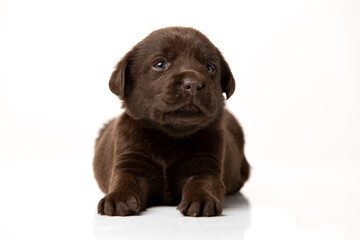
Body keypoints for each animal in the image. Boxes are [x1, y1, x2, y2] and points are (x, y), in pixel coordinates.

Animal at [93, 26, 250, 218]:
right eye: (160, 64)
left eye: (210, 67)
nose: (193, 84)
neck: (170, 135)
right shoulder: (130, 161)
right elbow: (124, 181)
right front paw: (118, 199)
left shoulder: (206, 164)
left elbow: (203, 183)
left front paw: (201, 199)